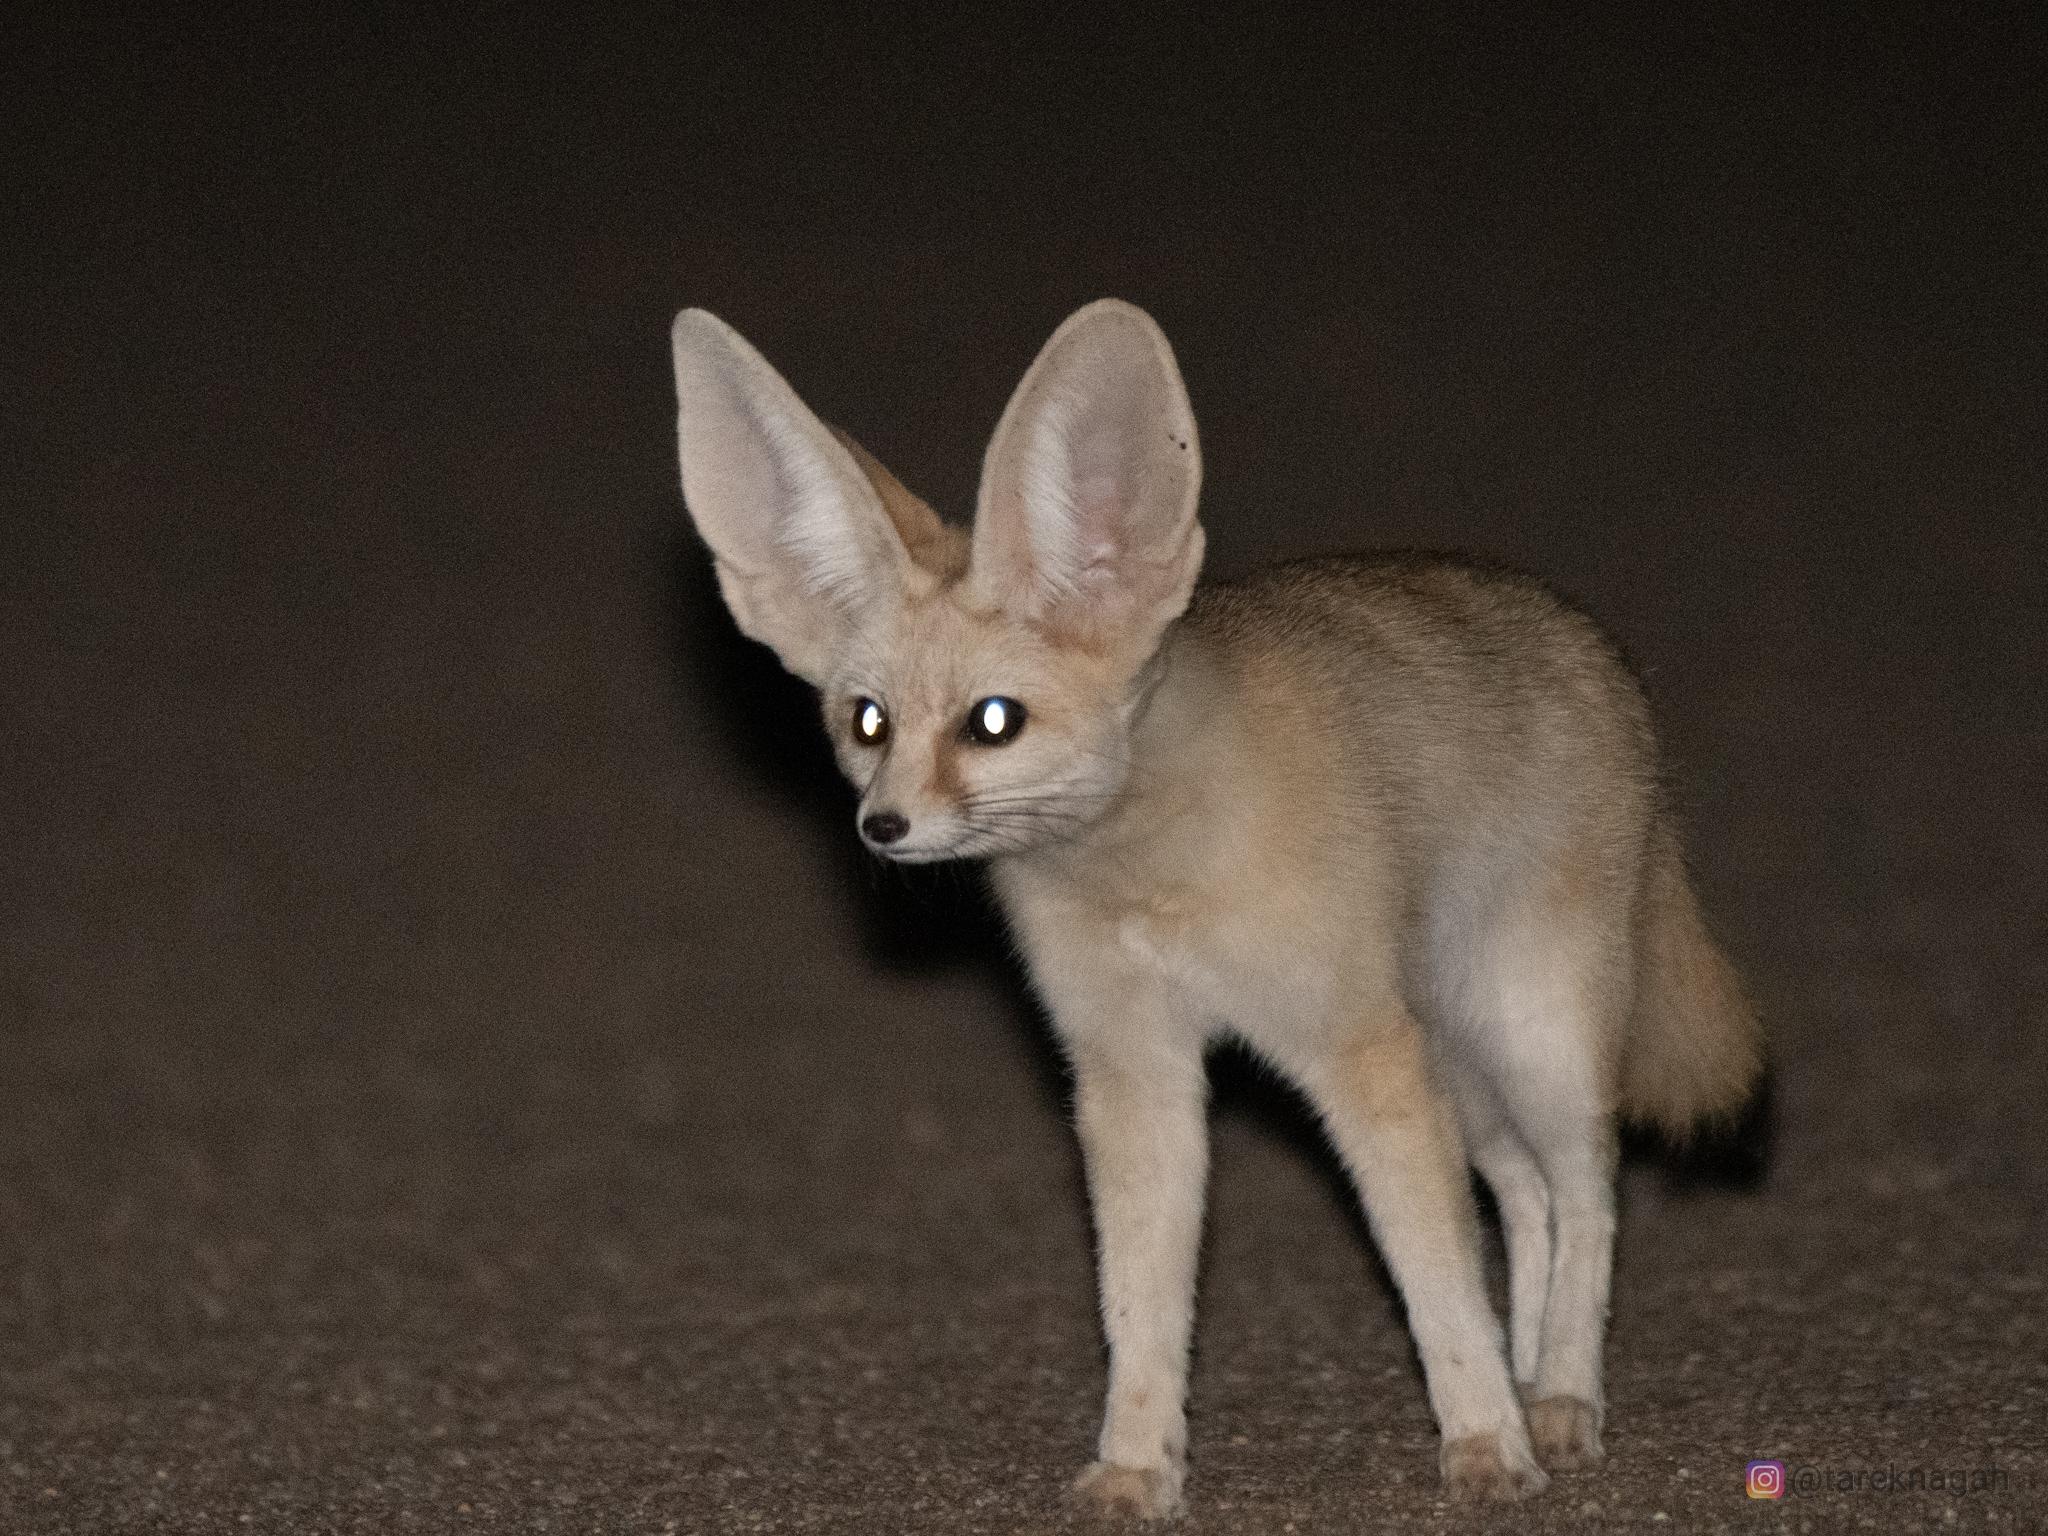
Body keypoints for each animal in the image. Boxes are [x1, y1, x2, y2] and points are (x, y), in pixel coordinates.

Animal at [668, 299, 1762, 1517]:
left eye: (992, 723)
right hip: (1464, 1060)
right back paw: (1533, 1377)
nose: (882, 828)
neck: (1149, 883)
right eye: (867, 723)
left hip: (1533, 1041)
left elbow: (1433, 1281)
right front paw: (1137, 1464)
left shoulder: (1356, 1052)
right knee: (1524, 1198)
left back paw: (1560, 1396)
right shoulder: (1131, 1071)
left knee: (1586, 1198)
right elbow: (1140, 1306)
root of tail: (1605, 657)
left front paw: (1486, 1440)